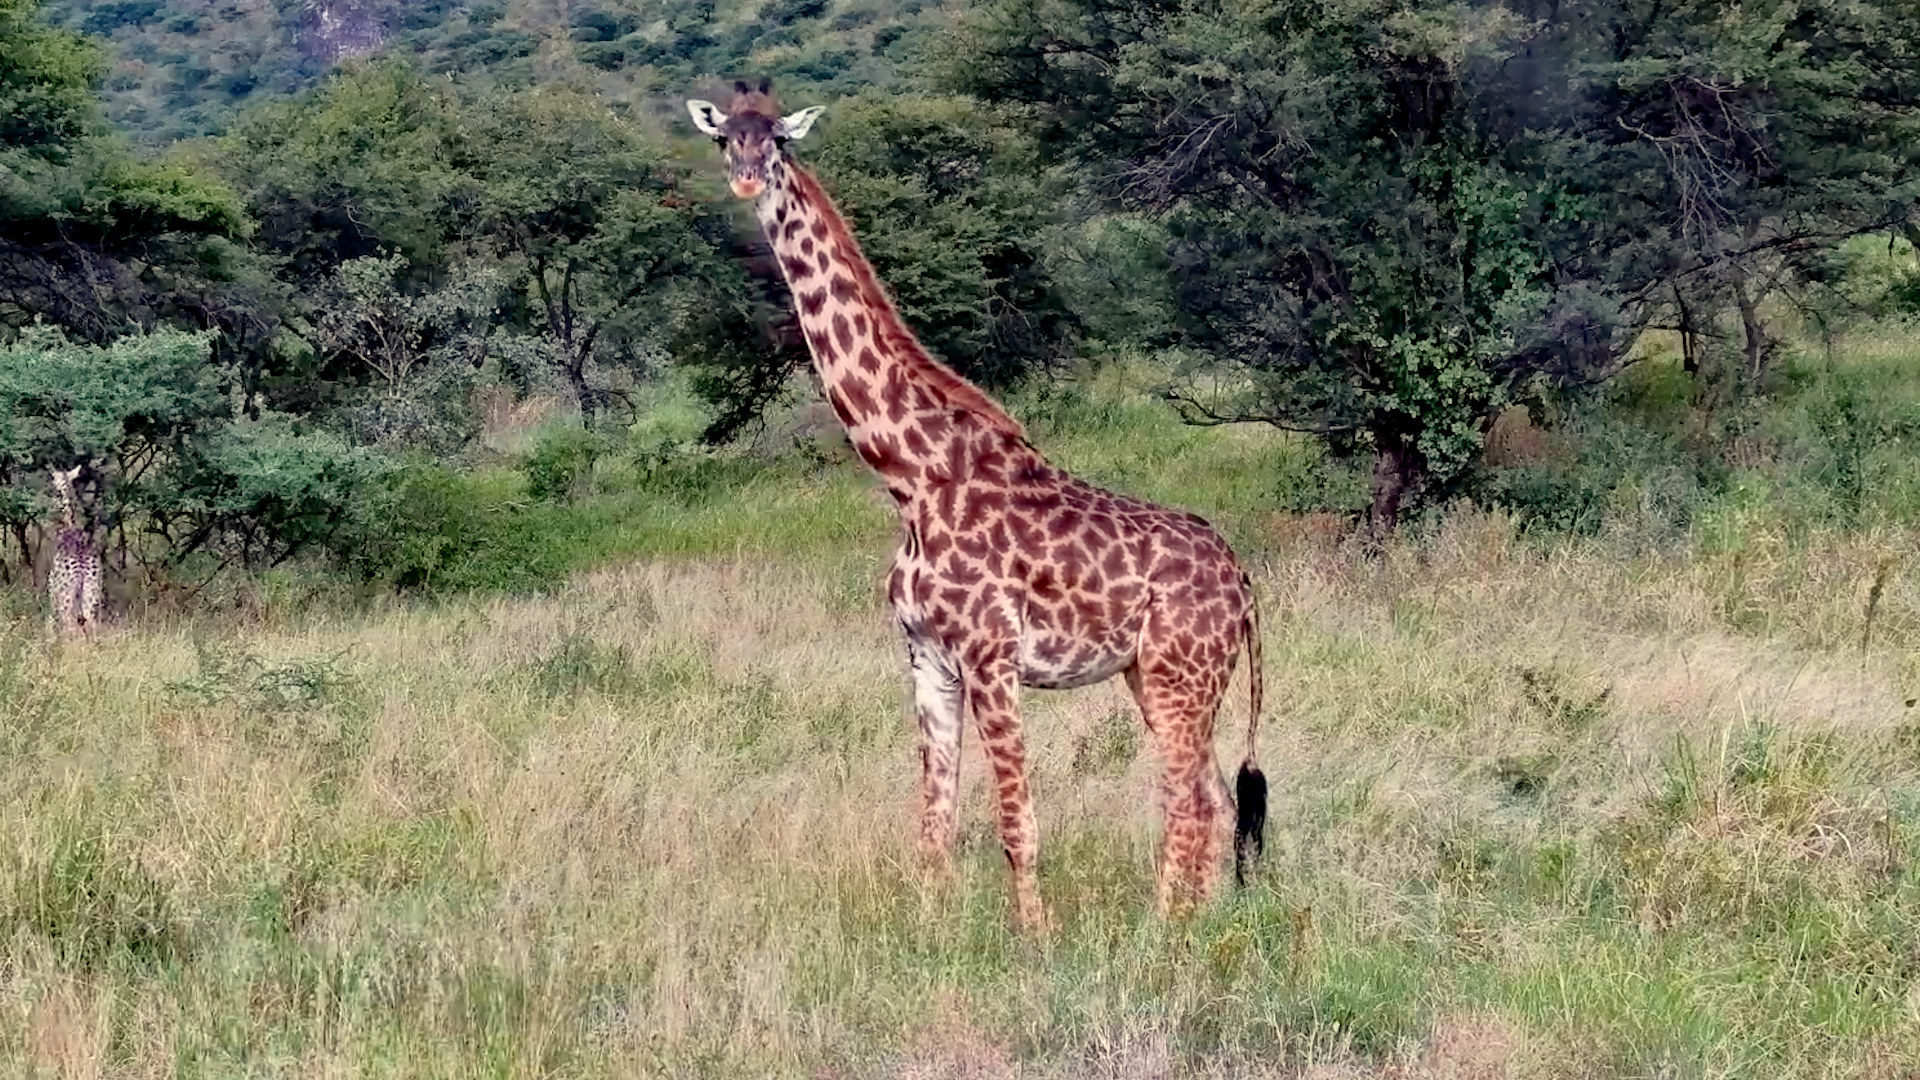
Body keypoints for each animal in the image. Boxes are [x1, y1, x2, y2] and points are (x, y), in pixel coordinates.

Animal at [689, 80, 1268, 929]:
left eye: (781, 142)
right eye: (725, 138)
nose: (747, 179)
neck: (911, 478)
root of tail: (1245, 585)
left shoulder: (992, 655)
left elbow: (1017, 826)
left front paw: (1036, 941)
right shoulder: (928, 661)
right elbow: (935, 822)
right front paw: (932, 935)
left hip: (1179, 674)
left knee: (1192, 800)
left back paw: (1162, 933)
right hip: (1154, 674)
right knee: (1216, 798)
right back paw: (1202, 925)